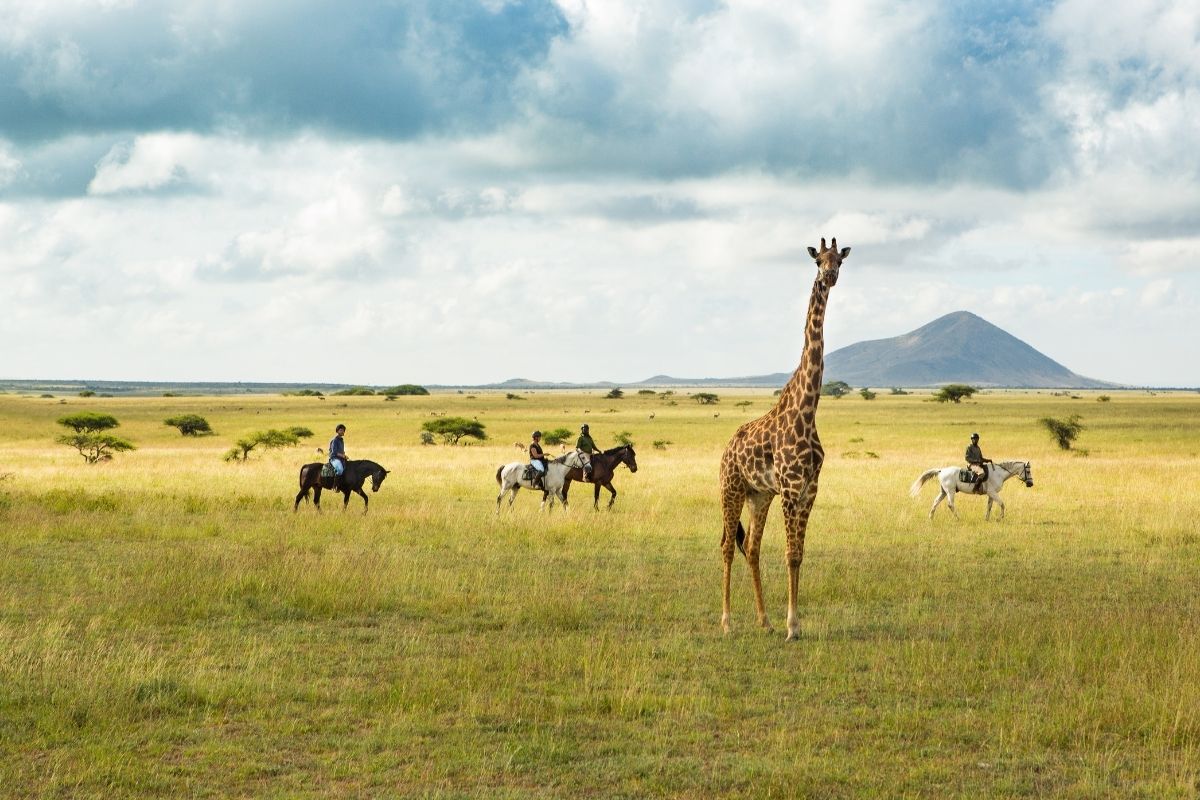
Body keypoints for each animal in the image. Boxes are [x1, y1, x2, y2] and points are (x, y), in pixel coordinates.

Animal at [719, 237, 850, 641]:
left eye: (840, 260)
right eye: (817, 260)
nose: (829, 277)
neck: (807, 411)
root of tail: (726, 449)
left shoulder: (809, 489)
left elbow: (798, 555)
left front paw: (791, 622)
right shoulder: (791, 489)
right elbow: (791, 555)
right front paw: (793, 626)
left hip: (758, 495)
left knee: (752, 548)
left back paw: (764, 620)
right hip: (730, 488)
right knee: (727, 546)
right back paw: (726, 621)